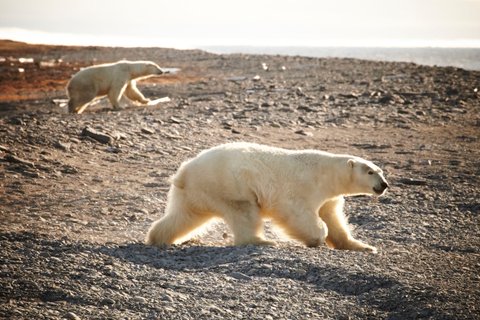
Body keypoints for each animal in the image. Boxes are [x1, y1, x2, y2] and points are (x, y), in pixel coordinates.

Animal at [146, 141, 390, 251]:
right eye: (370, 172)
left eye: (381, 171)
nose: (384, 185)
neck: (326, 173)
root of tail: (183, 173)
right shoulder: (303, 187)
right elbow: (299, 214)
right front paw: (317, 236)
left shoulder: (330, 198)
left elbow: (334, 219)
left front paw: (365, 246)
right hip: (228, 186)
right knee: (244, 212)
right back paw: (263, 240)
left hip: (196, 193)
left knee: (185, 216)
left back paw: (159, 238)